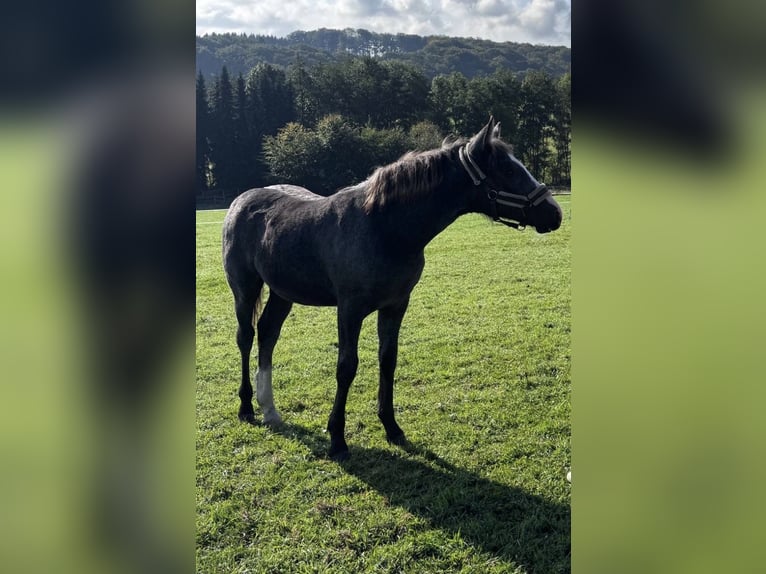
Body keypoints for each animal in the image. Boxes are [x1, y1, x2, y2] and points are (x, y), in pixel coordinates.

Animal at [222, 117, 562, 460]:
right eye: (507, 170)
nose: (554, 213)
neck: (383, 226)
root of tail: (241, 200)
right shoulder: (350, 309)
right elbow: (346, 367)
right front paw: (337, 439)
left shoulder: (395, 305)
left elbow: (388, 360)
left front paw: (392, 427)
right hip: (245, 288)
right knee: (246, 337)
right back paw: (246, 407)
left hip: (283, 292)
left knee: (268, 334)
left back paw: (269, 408)